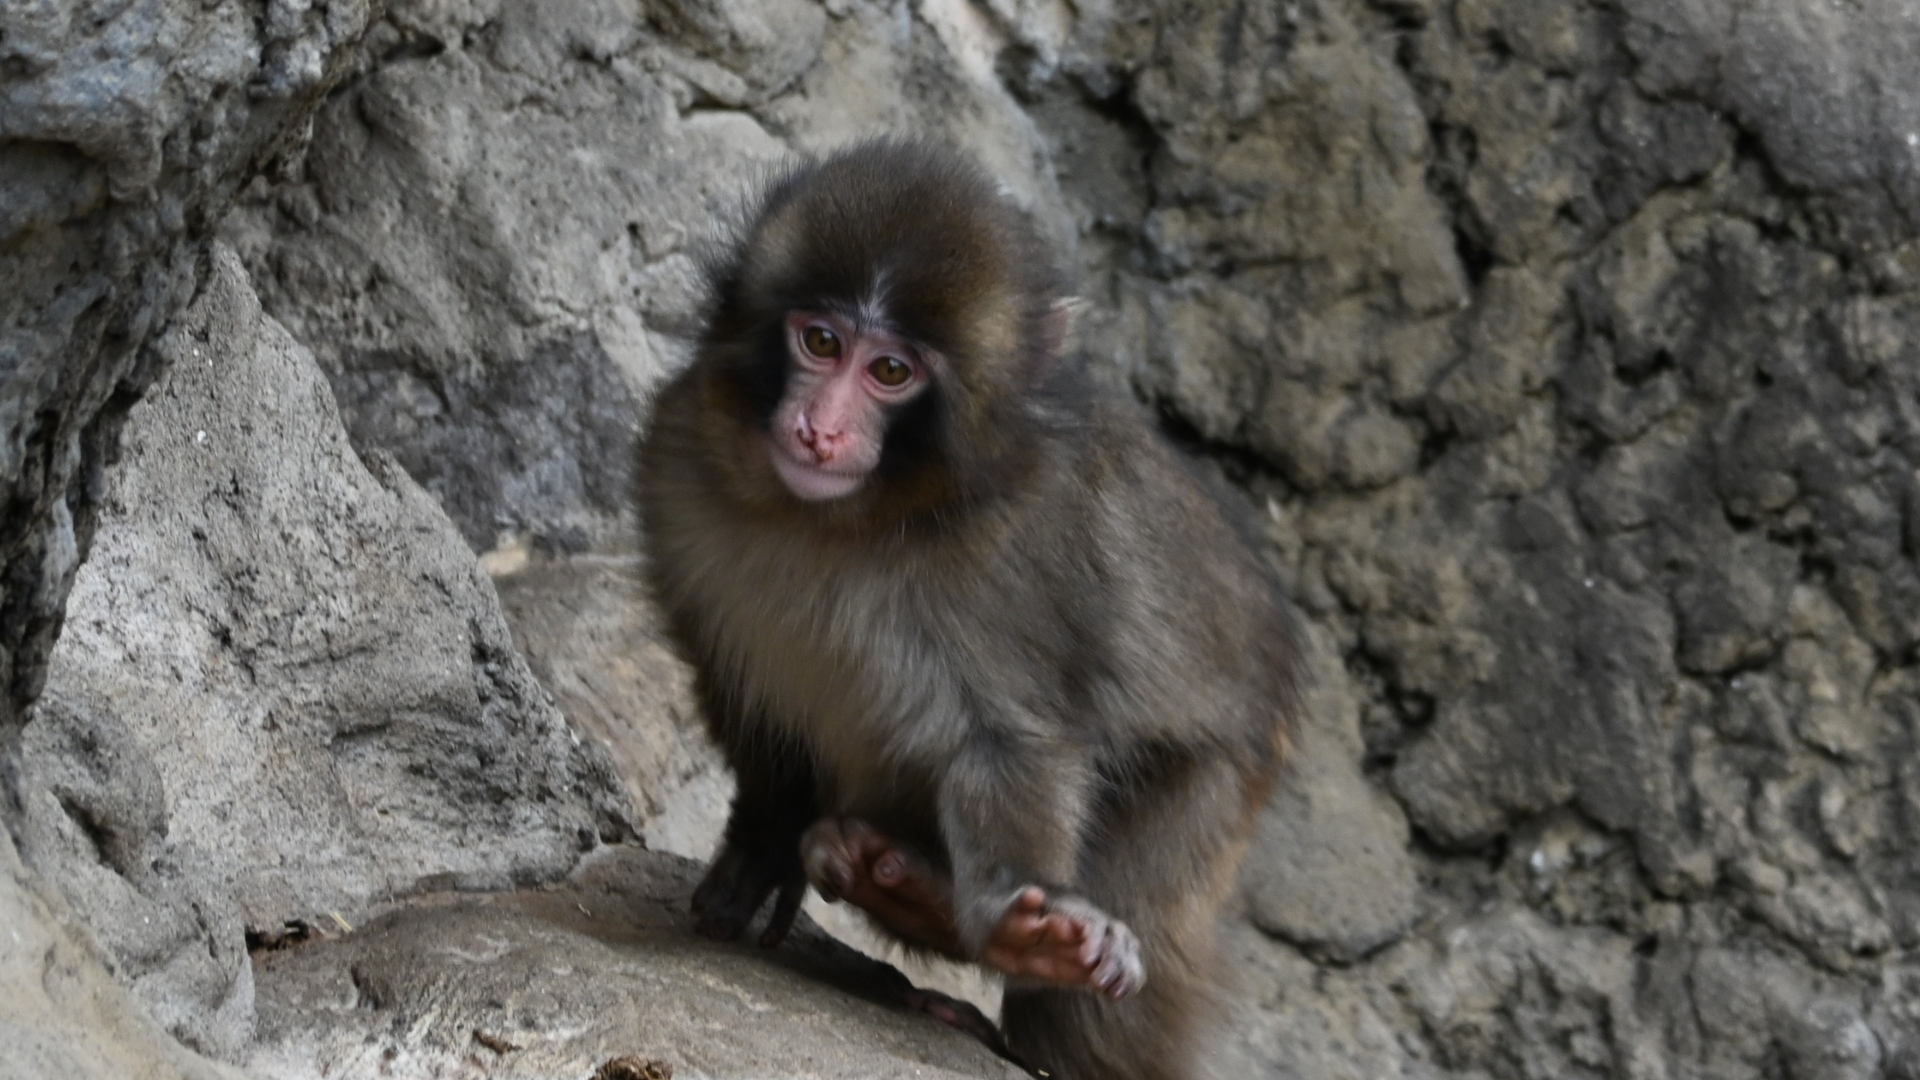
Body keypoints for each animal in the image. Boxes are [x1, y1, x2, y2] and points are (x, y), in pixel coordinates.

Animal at [638, 138, 1297, 1080]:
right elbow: (740, 692)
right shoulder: (679, 460)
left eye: (890, 372)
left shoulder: (1017, 556)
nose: (819, 429)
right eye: (821, 341)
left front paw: (1028, 923)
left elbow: (1010, 739)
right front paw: (760, 845)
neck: (849, 521)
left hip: (1224, 778)